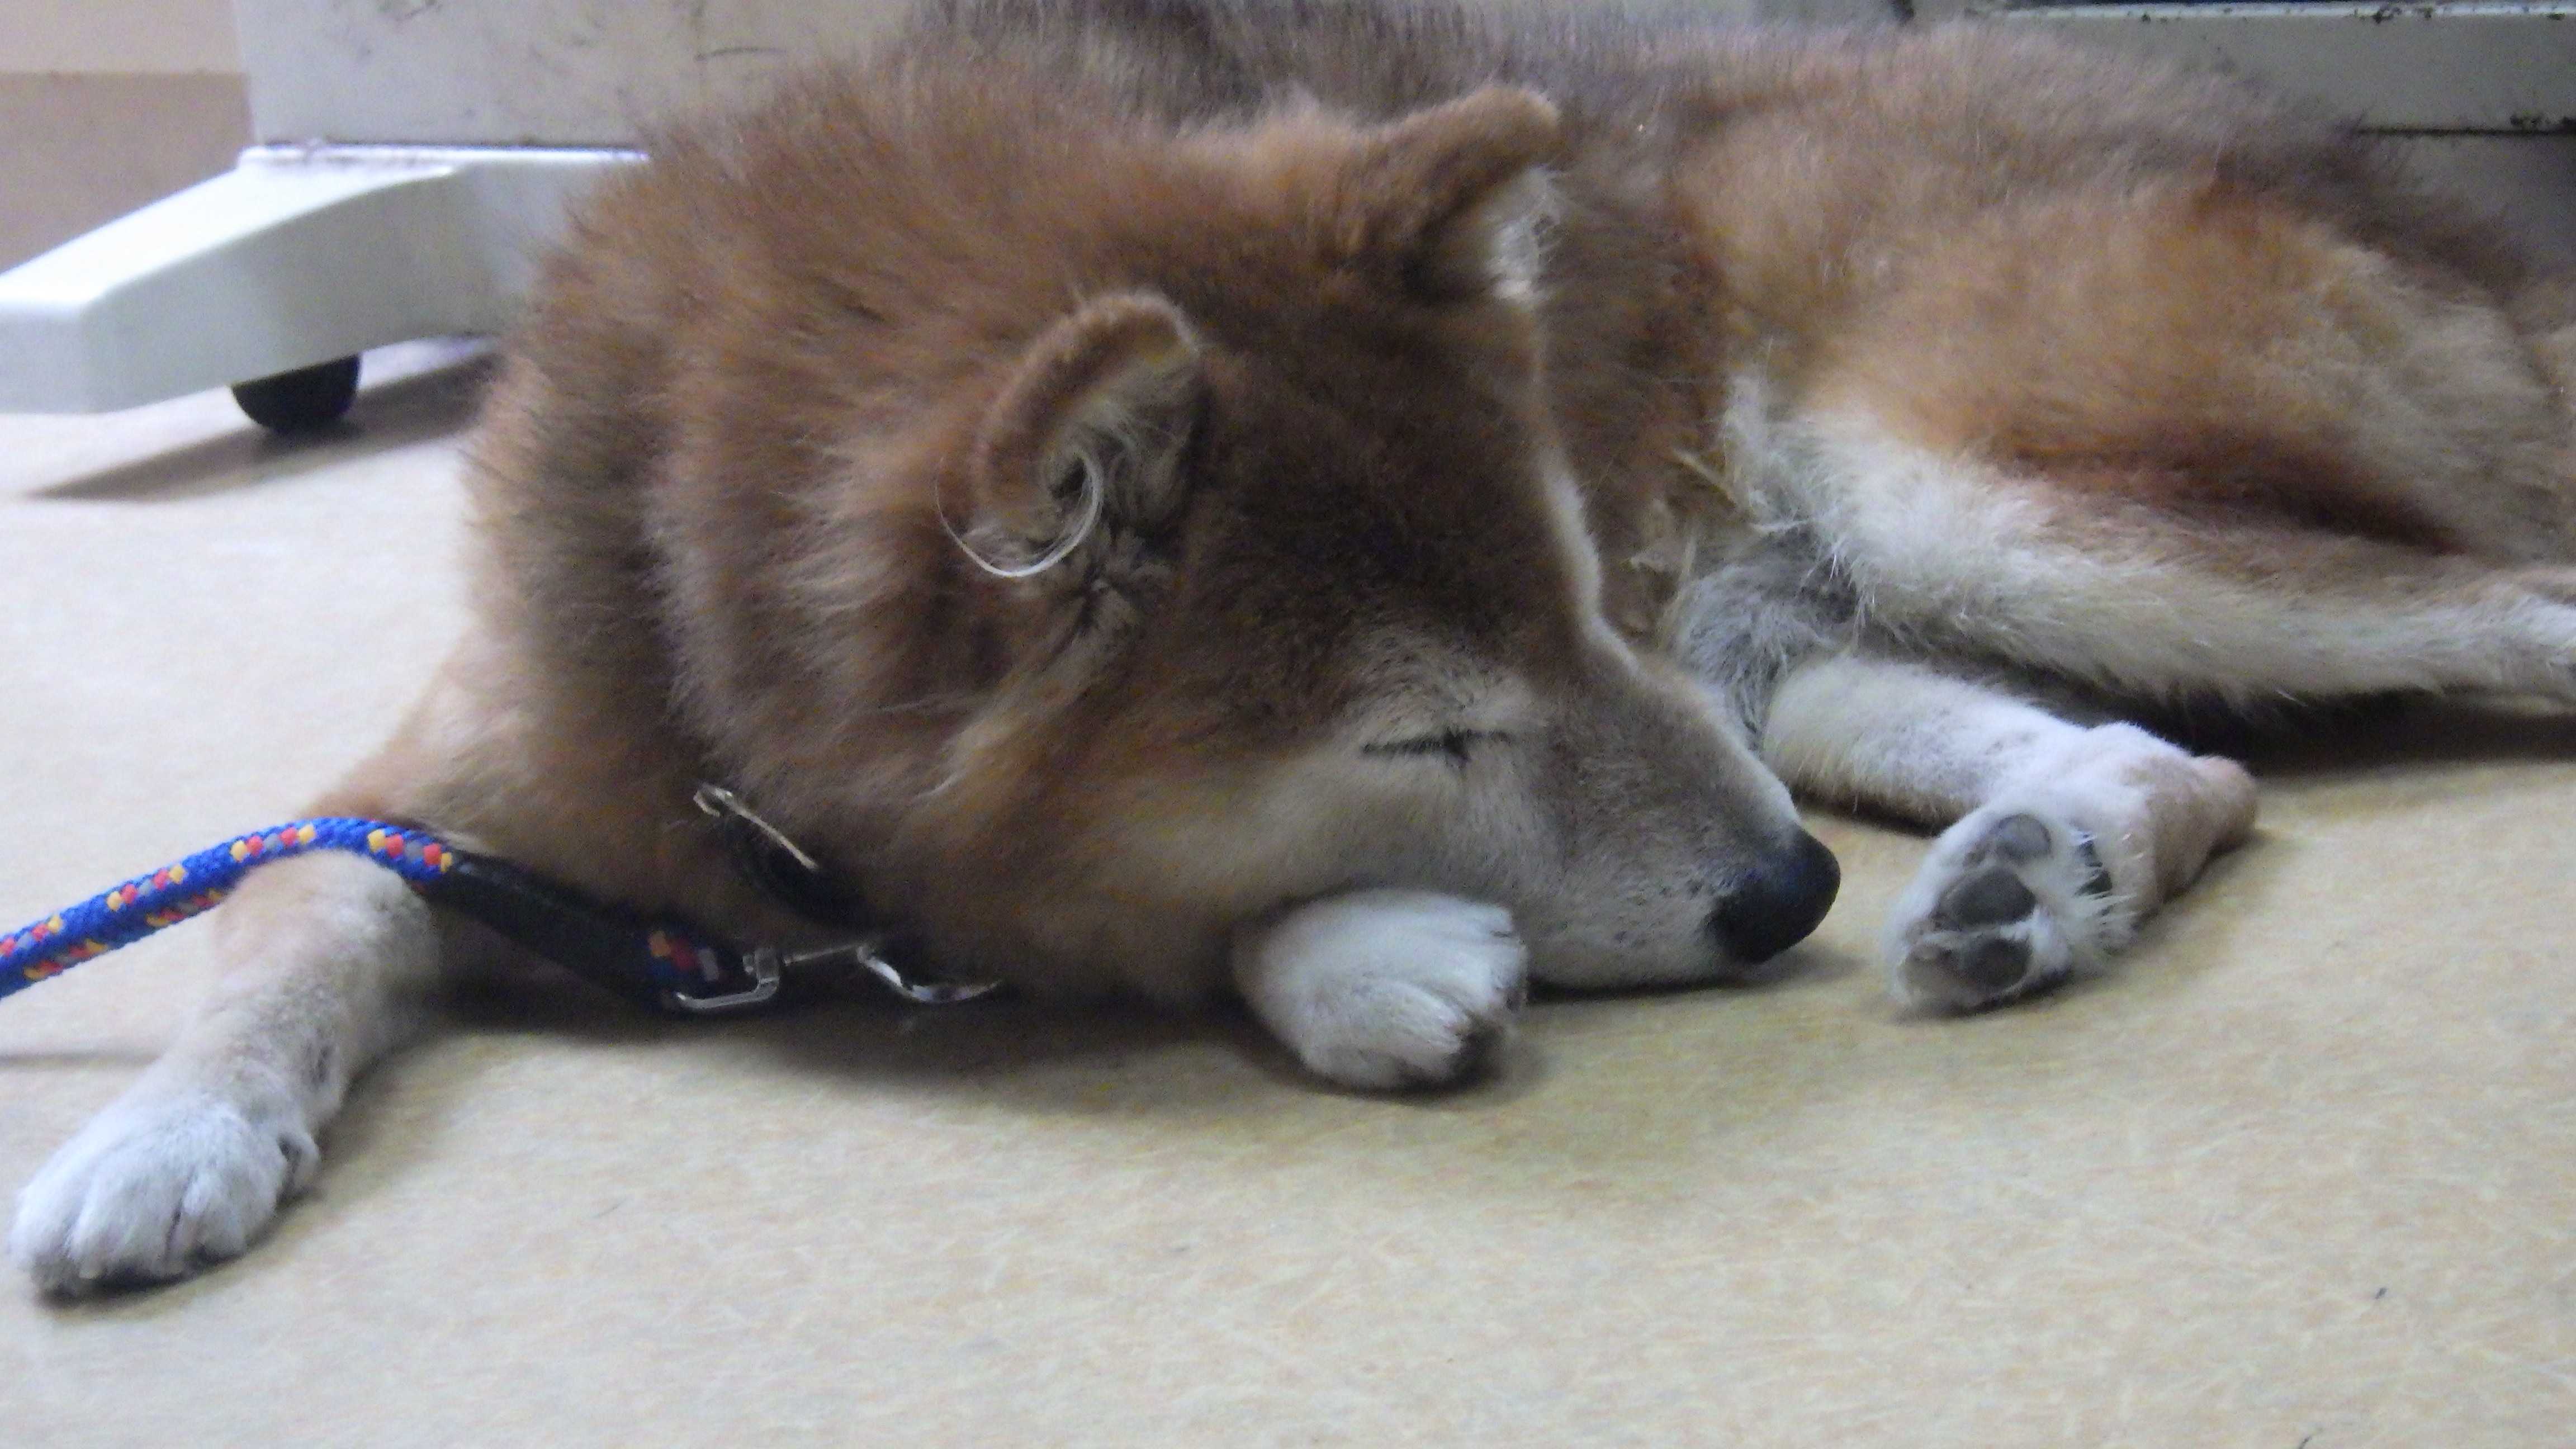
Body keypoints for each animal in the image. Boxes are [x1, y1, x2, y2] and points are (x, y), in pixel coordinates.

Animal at [15, 0, 2575, 1292]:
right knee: (2178, 763)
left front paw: (1353, 959)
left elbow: (1134, 901)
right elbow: (291, 909)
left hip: (1958, 508)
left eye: (1575, 598)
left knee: (2512, 611)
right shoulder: (447, 787)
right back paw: (2041, 875)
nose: (1784, 900)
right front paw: (167, 1132)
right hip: (1812, 644)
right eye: (1429, 734)